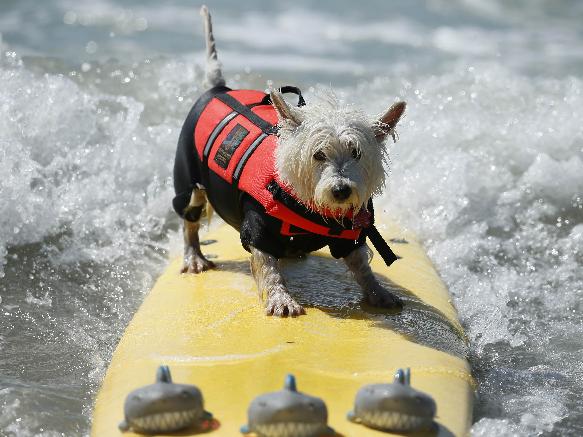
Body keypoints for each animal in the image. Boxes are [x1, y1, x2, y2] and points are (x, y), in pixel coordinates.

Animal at [175, 5, 406, 316]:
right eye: (318, 154)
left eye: (356, 153)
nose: (341, 191)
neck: (310, 207)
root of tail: (218, 90)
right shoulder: (258, 228)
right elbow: (268, 267)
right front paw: (281, 299)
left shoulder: (351, 234)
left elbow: (361, 264)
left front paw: (377, 292)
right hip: (188, 177)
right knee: (190, 218)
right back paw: (194, 256)